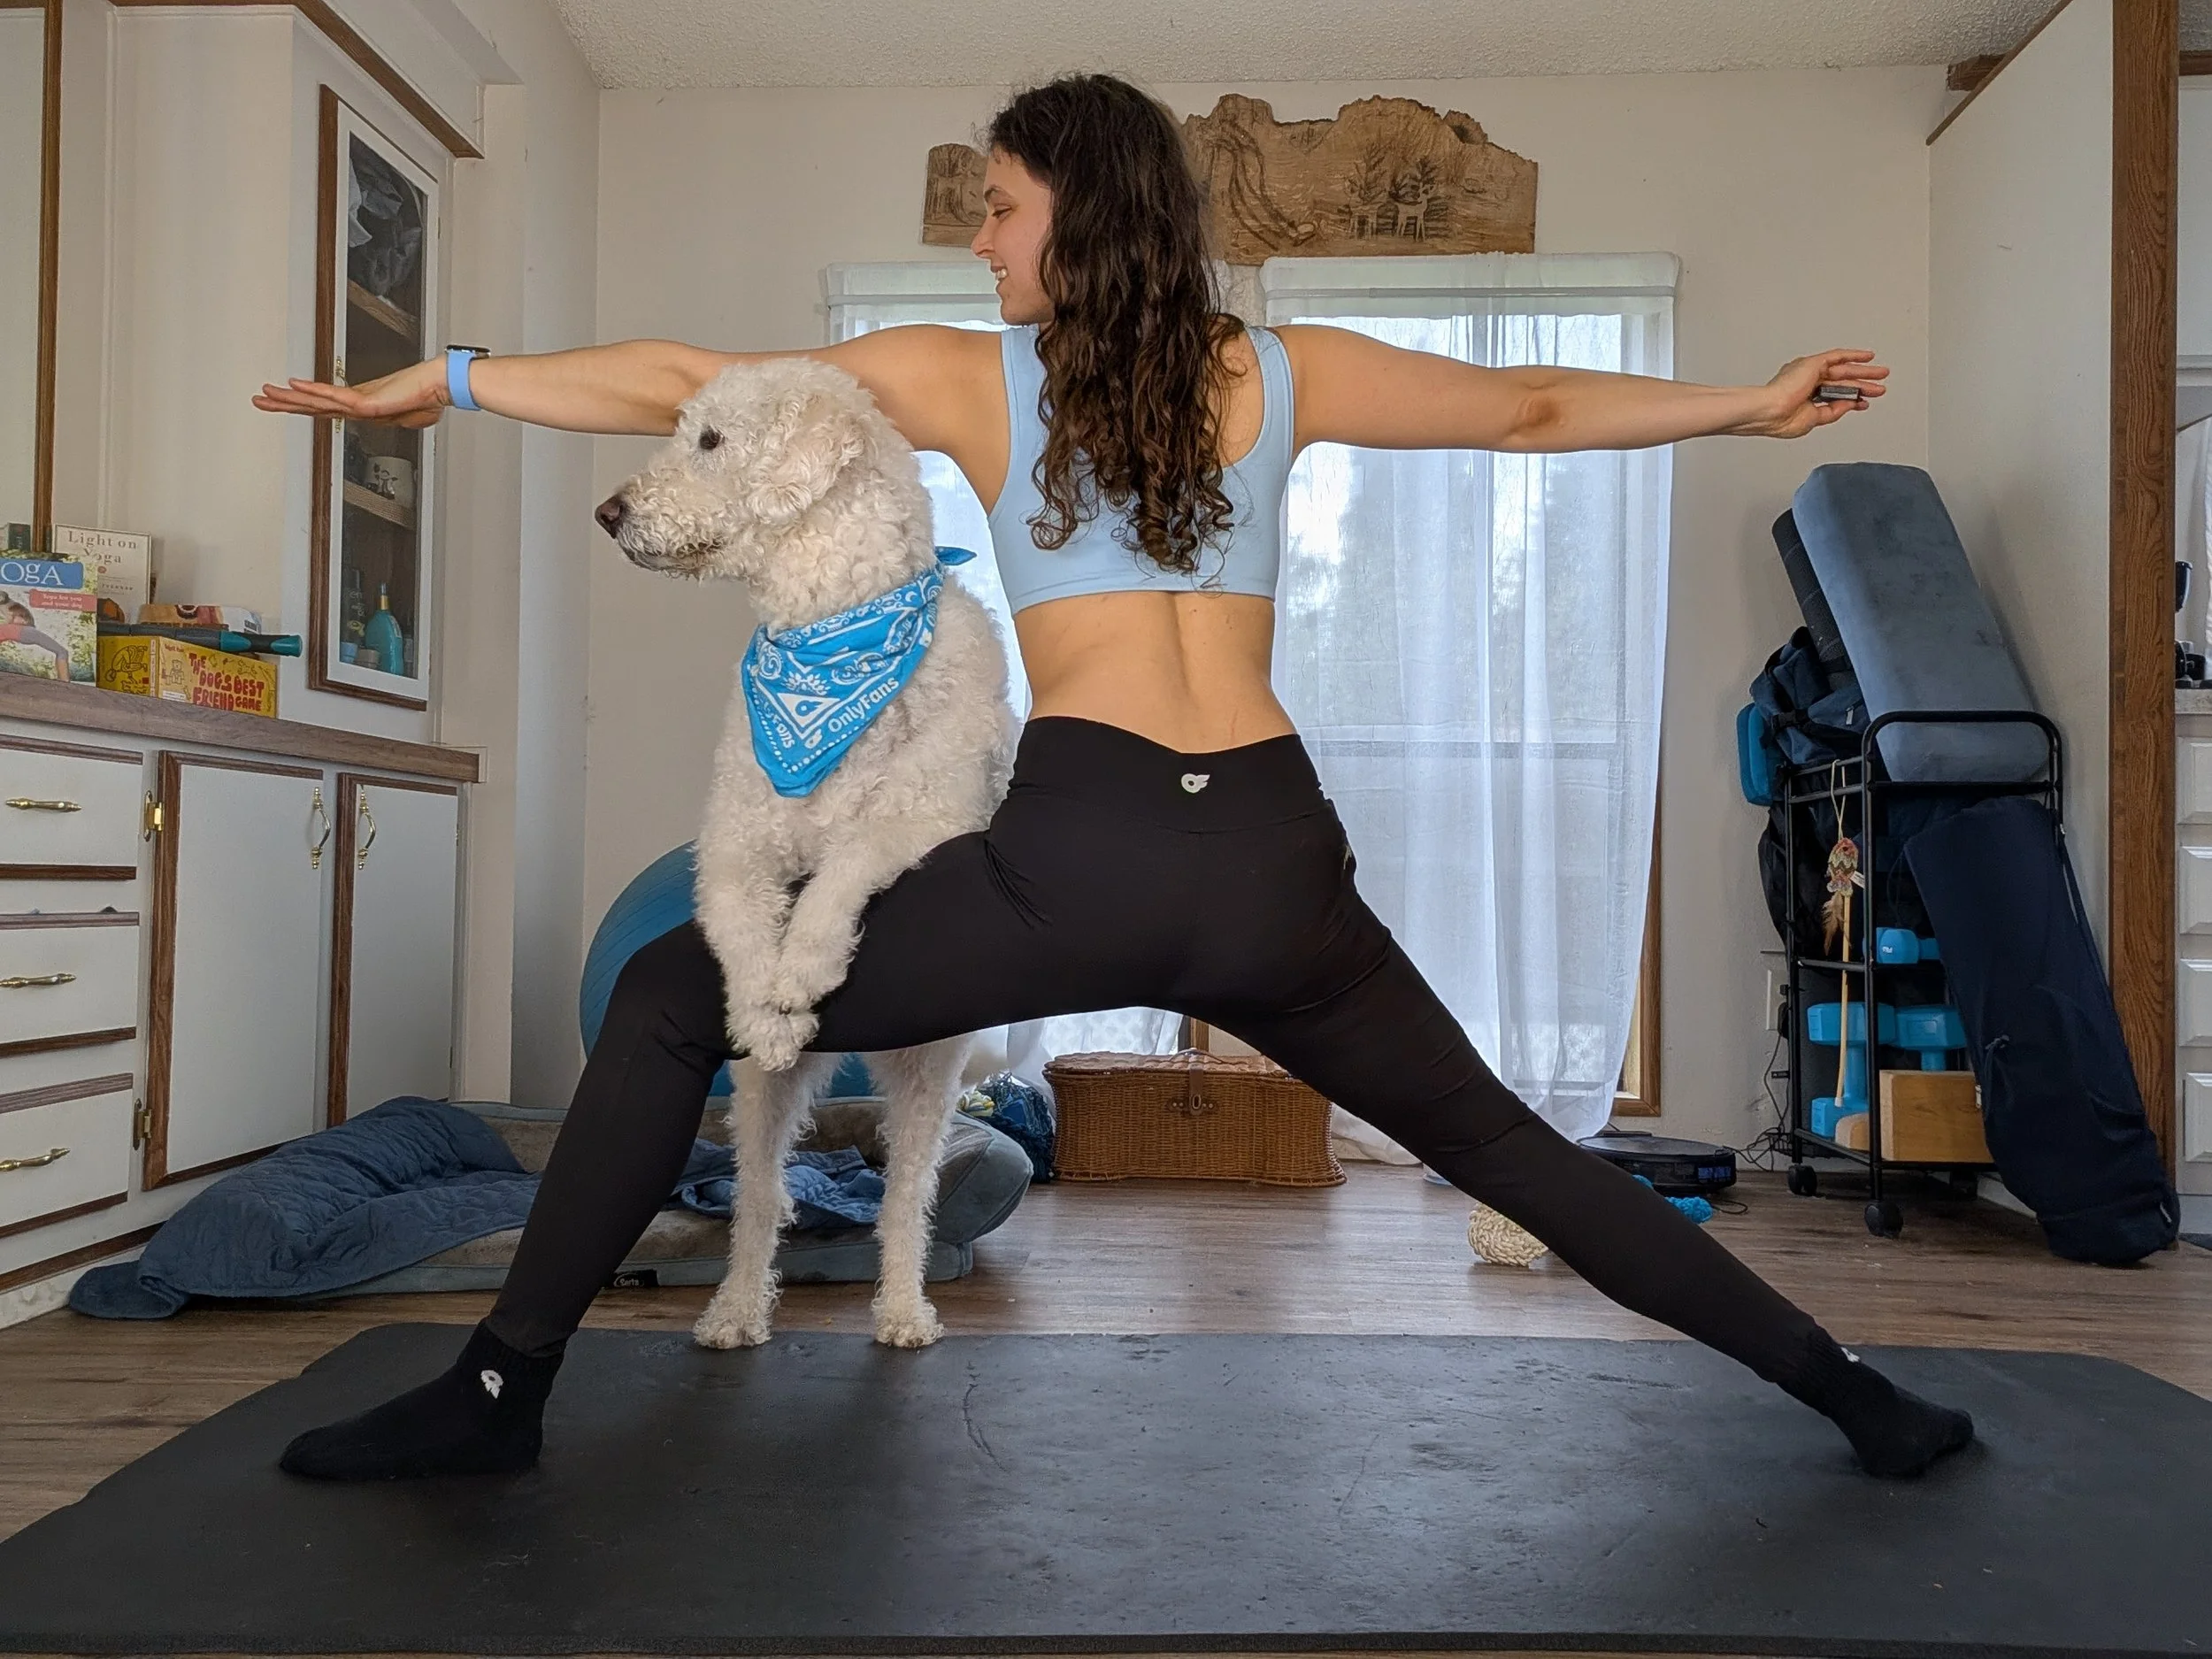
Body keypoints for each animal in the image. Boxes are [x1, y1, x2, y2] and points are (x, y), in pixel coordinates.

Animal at [599, 357, 1017, 1349]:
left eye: (711, 440)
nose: (608, 511)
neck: (831, 641)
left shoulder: (929, 812)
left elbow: (847, 862)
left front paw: (804, 966)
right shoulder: (733, 845)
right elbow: (743, 924)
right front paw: (767, 1003)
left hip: (926, 1075)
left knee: (906, 1202)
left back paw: (901, 1307)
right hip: (761, 1105)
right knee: (760, 1201)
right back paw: (737, 1307)